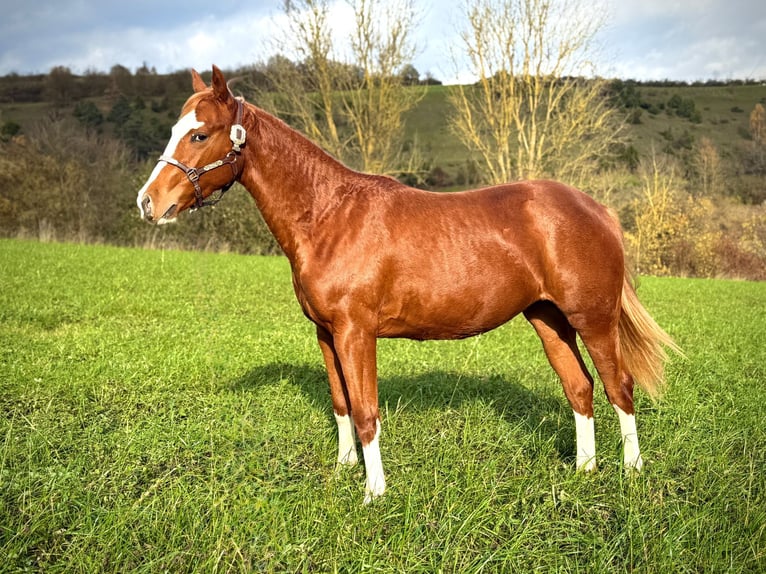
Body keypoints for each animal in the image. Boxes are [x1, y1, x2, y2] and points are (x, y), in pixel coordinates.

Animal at [137, 65, 679, 503]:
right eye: (175, 130)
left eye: (200, 135)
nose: (148, 202)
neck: (328, 216)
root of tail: (597, 209)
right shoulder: (326, 333)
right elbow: (342, 405)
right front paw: (344, 471)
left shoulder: (356, 332)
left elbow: (366, 411)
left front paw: (373, 493)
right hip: (549, 319)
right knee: (580, 388)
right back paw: (583, 472)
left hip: (594, 318)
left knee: (618, 386)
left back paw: (631, 473)